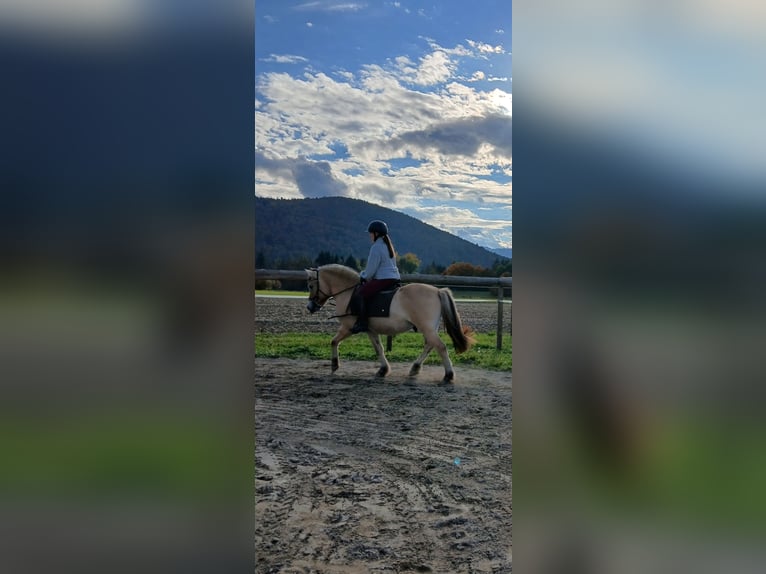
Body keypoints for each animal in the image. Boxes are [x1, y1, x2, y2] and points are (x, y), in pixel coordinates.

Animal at [305, 264, 475, 383]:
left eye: (311, 285)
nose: (310, 307)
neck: (348, 293)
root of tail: (437, 291)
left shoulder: (348, 327)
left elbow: (334, 341)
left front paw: (334, 365)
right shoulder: (371, 330)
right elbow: (378, 348)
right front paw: (383, 370)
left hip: (426, 328)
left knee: (440, 347)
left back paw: (448, 375)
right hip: (429, 328)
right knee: (430, 345)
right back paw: (415, 368)